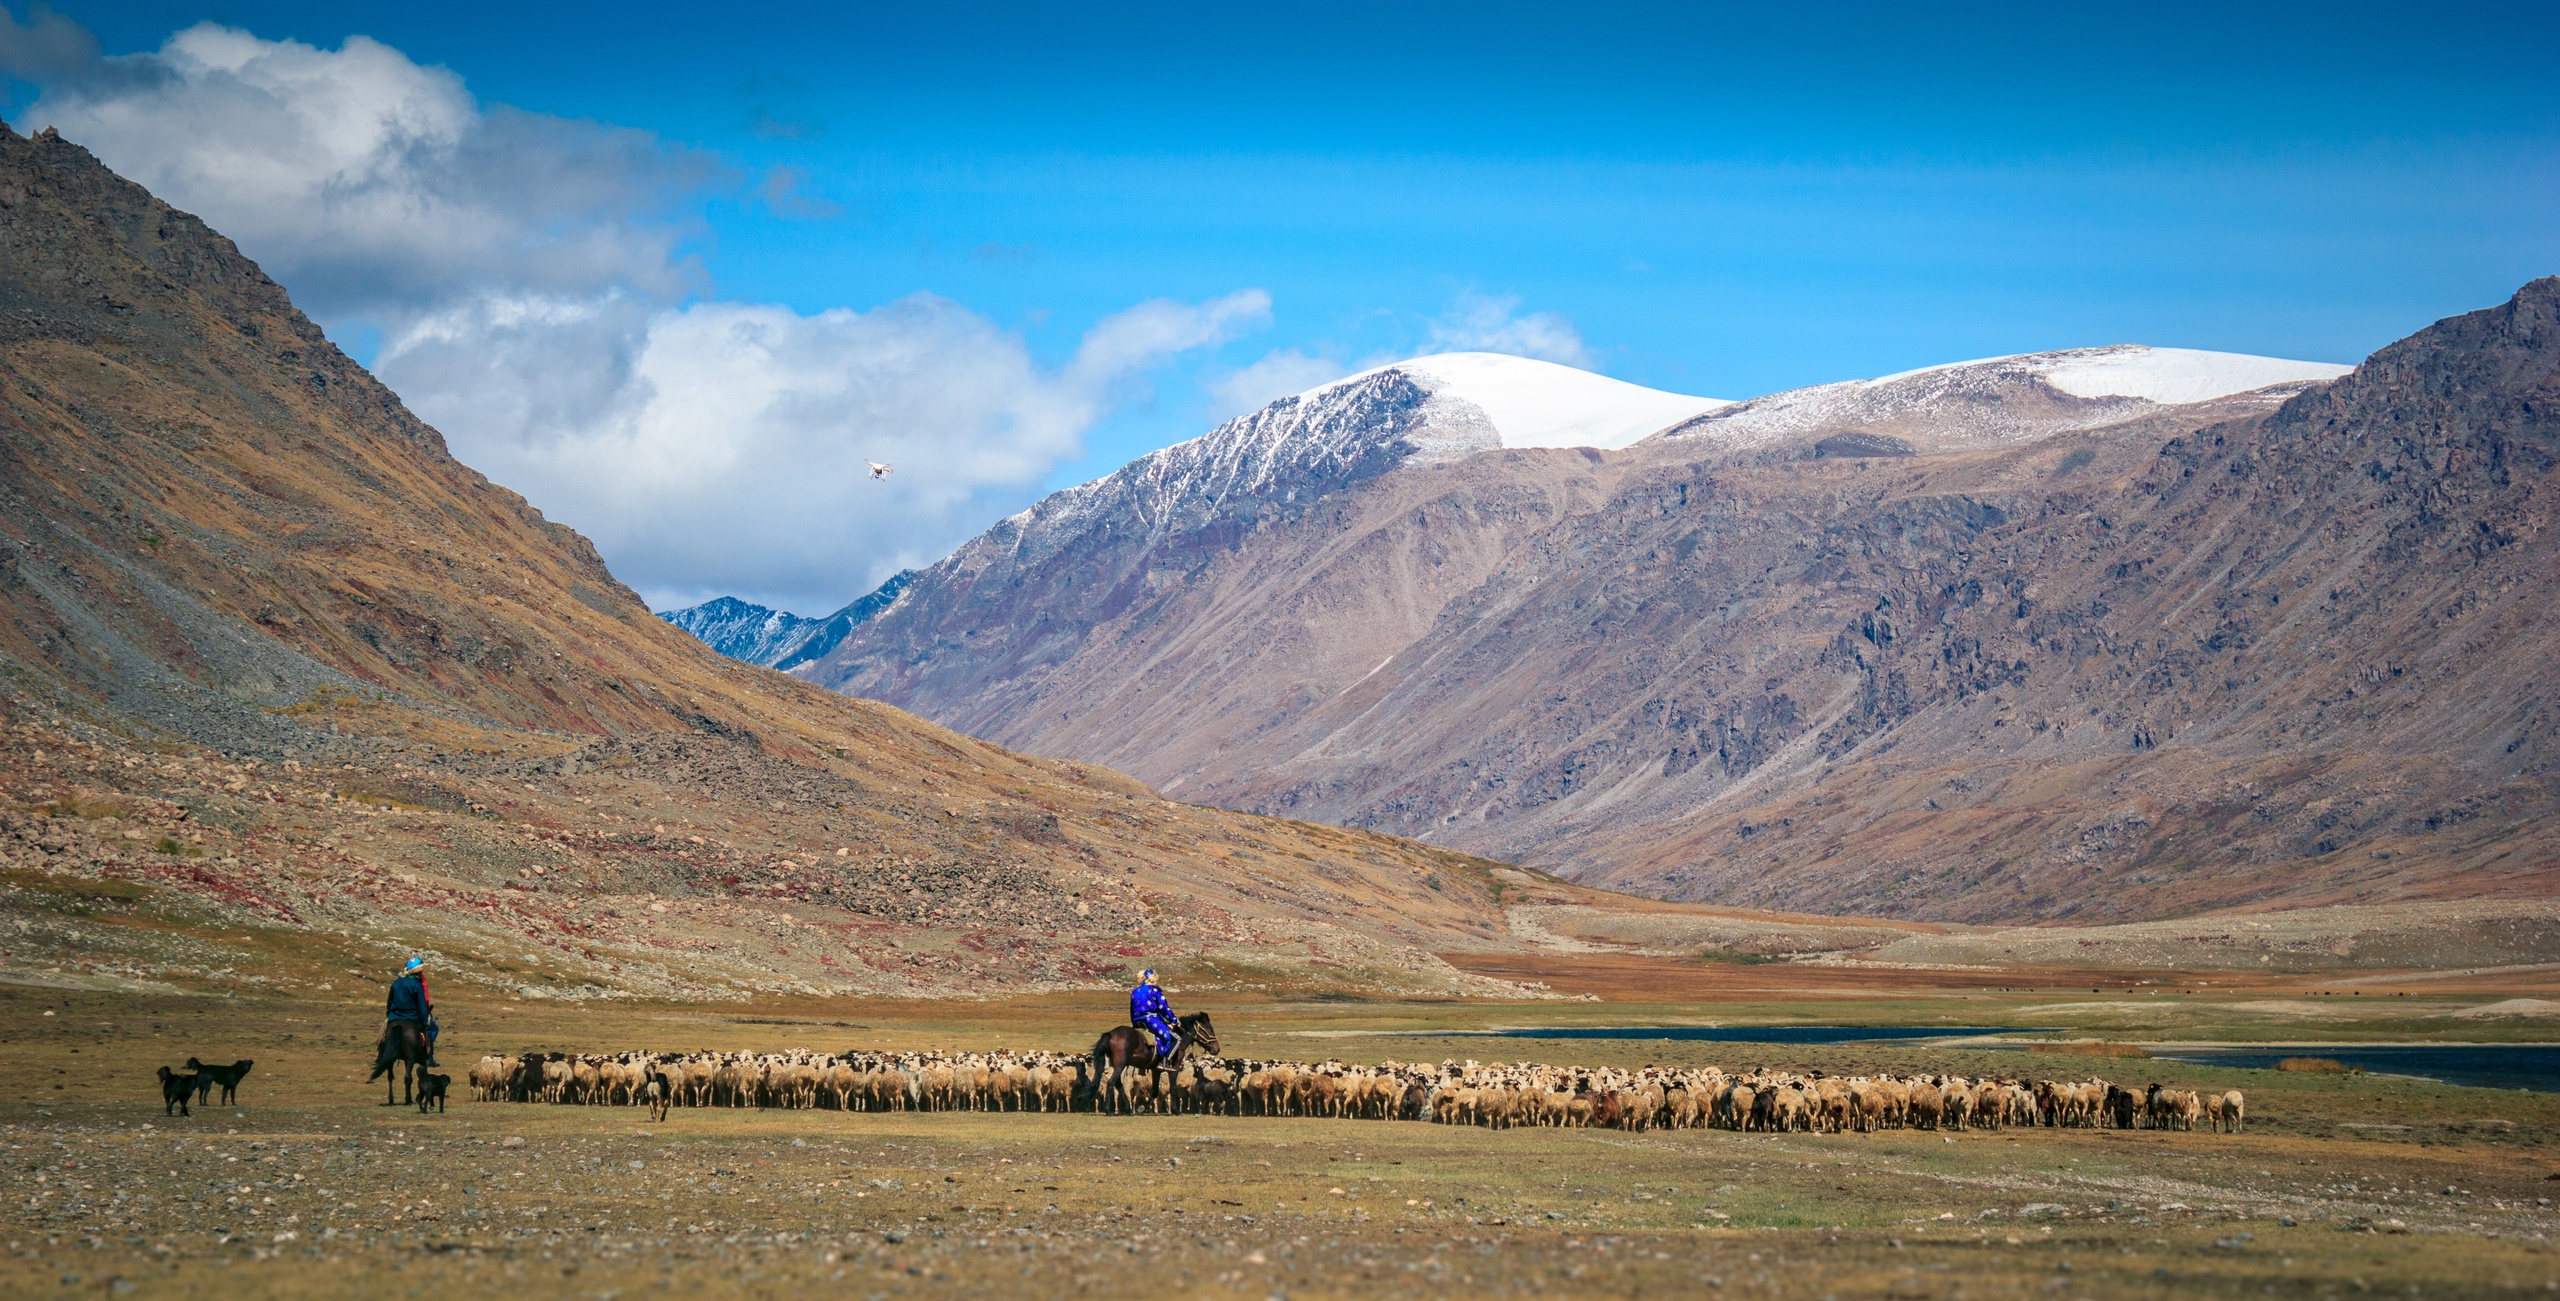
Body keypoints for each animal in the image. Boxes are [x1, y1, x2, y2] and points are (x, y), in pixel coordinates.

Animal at [1090, 1009, 1218, 1111]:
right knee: (1111, 1083)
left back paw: (1128, 1109)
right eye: (1209, 1029)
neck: (1180, 1038)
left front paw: (1143, 1108)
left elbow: (1155, 1091)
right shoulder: (1174, 1068)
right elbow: (1173, 1088)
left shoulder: (1156, 1070)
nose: (1217, 1049)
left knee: (1118, 1084)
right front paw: (1176, 1110)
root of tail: (1111, 1034)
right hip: (1120, 1065)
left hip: (1117, 1065)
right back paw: (1108, 1110)